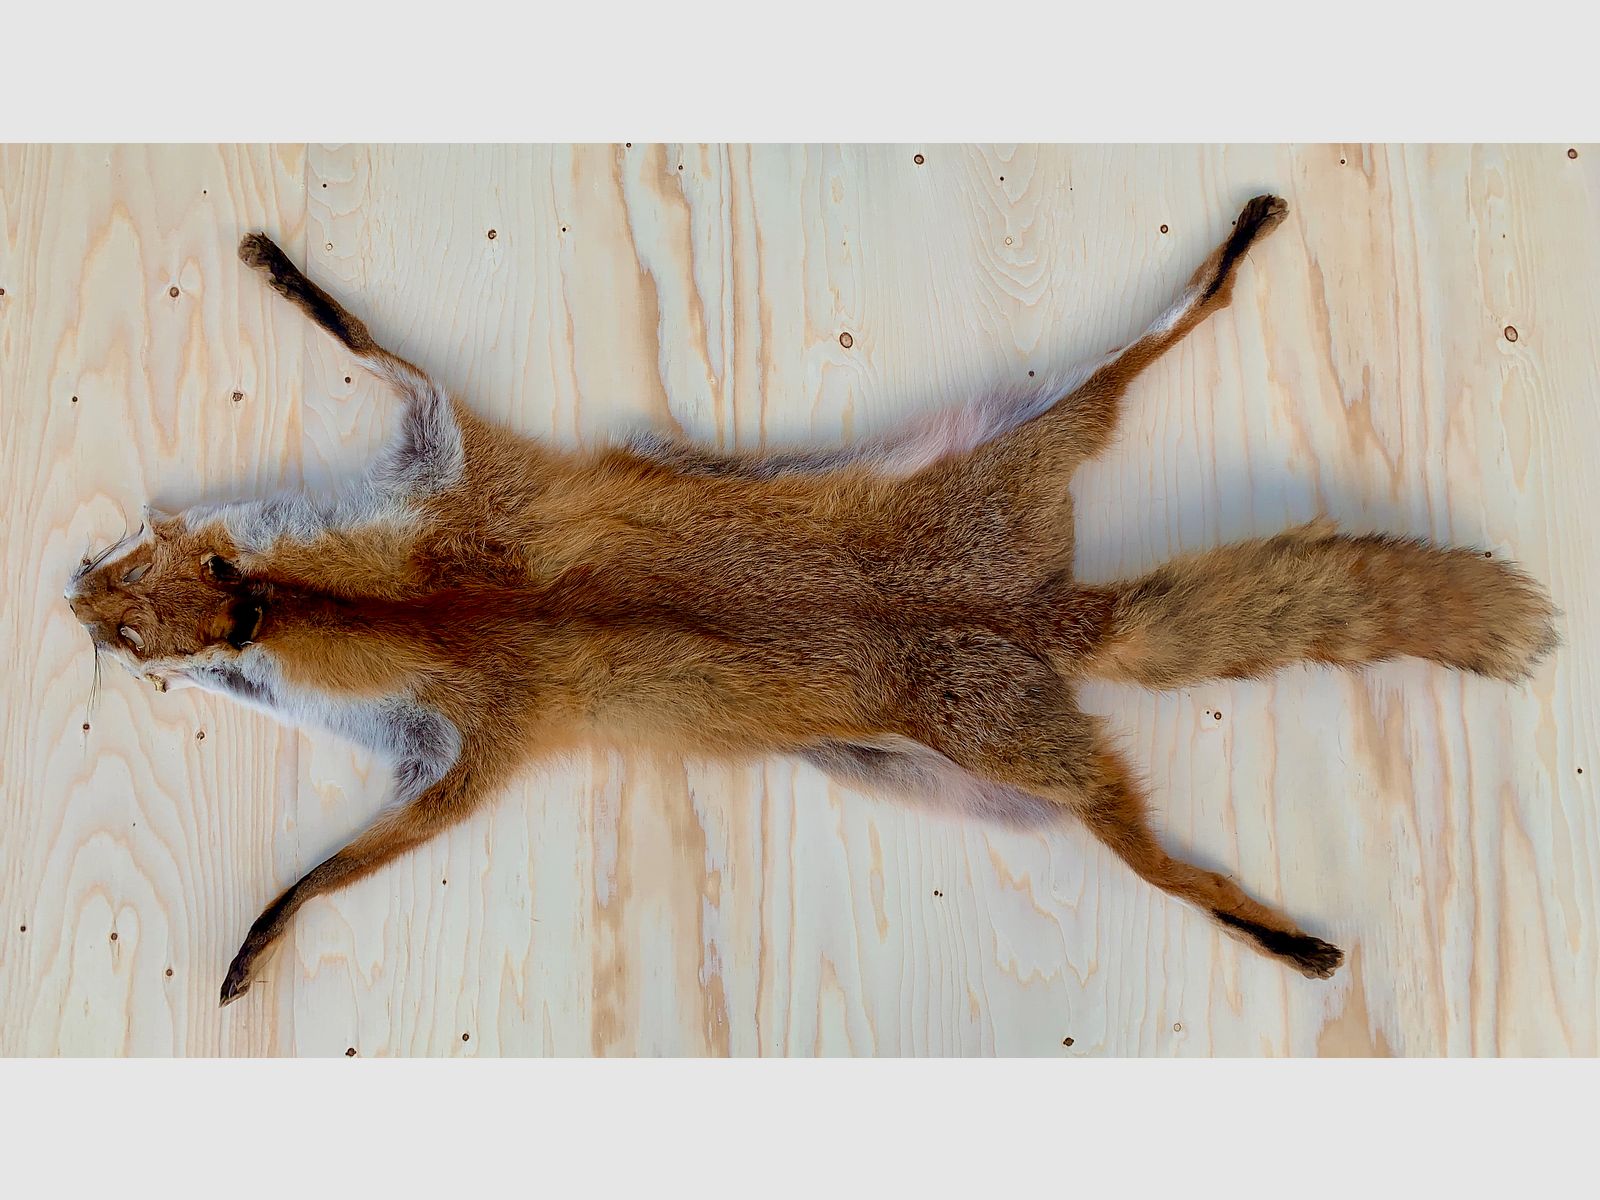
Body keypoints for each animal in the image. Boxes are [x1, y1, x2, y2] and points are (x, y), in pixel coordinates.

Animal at [64, 195, 1557, 1005]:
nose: (69, 593)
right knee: (1145, 363)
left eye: (137, 640)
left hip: (1037, 748)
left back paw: (1283, 939)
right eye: (134, 561)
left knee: (1154, 850)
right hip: (1004, 565)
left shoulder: (472, 705)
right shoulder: (461, 496)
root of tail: (1046, 615)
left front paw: (259, 941)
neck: (402, 608)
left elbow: (332, 873)